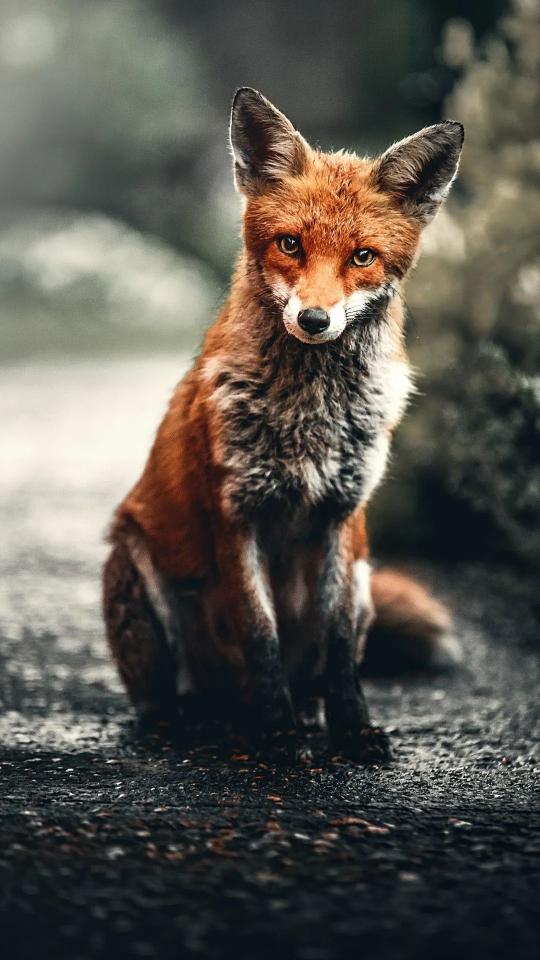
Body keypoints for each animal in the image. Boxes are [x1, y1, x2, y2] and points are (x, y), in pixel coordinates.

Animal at [102, 88, 464, 761]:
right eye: (290, 244)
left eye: (362, 256)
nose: (315, 320)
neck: (309, 416)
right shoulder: (235, 514)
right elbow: (260, 635)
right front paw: (276, 734)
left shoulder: (344, 518)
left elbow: (341, 646)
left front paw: (352, 728)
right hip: (137, 566)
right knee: (168, 698)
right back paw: (194, 721)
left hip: (367, 577)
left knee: (316, 670)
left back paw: (307, 713)